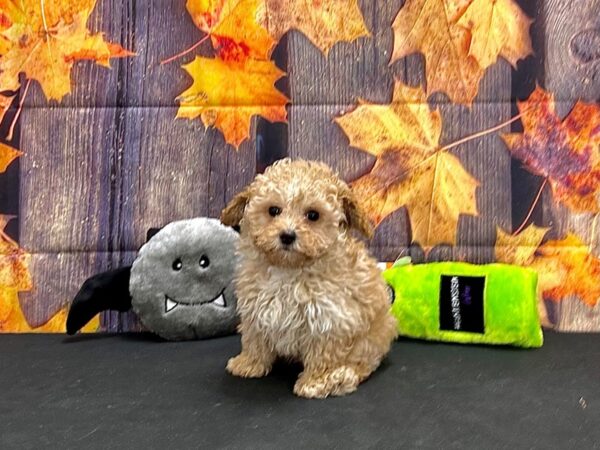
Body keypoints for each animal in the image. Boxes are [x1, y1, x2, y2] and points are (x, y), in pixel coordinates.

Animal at [221, 158, 398, 398]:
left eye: (313, 215)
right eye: (274, 210)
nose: (287, 235)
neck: (289, 270)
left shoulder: (330, 318)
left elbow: (322, 354)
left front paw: (315, 383)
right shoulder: (255, 309)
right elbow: (254, 339)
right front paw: (248, 363)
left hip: (371, 339)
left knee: (364, 363)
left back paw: (341, 378)